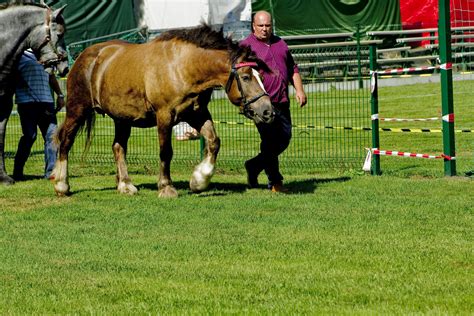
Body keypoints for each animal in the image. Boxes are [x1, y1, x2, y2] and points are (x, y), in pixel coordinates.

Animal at [51, 24, 274, 198]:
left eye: (260, 75)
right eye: (246, 77)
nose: (267, 111)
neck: (182, 67)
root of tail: (84, 56)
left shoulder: (197, 114)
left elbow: (213, 142)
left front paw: (199, 180)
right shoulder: (164, 116)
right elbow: (166, 151)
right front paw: (166, 187)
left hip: (121, 118)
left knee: (118, 147)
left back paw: (125, 185)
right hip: (77, 109)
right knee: (66, 141)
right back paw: (62, 184)